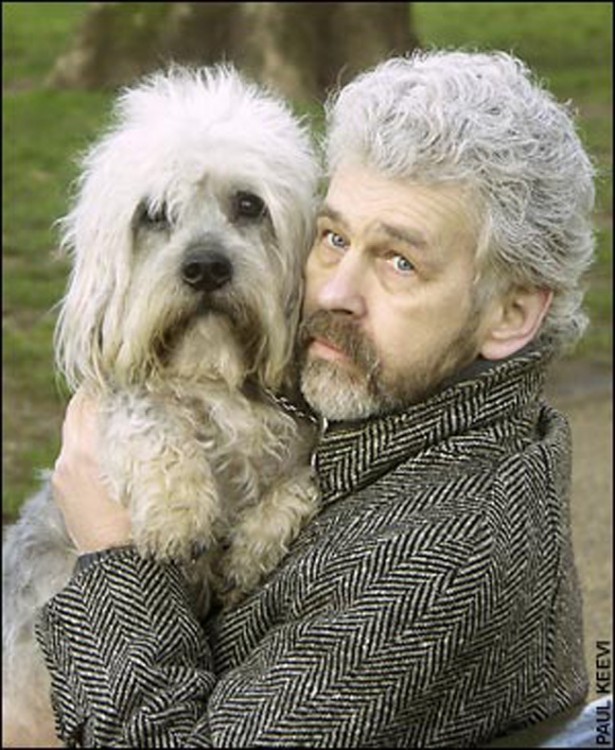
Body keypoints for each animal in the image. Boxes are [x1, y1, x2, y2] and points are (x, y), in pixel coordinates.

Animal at [2, 63, 322, 748]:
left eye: (249, 205)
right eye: (153, 215)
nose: (205, 268)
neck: (213, 375)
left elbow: (300, 477)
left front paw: (251, 547)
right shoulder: (119, 403)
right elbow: (146, 409)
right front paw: (179, 509)